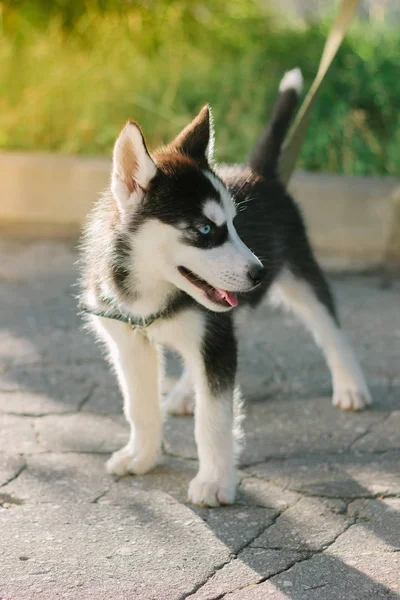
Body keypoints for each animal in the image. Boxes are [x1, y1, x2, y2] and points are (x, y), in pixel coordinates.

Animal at [80, 67, 372, 506]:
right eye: (204, 230)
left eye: (235, 224)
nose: (258, 273)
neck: (152, 292)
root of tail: (261, 173)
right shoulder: (131, 342)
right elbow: (140, 407)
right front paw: (142, 455)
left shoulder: (215, 339)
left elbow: (214, 420)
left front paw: (215, 481)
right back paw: (185, 393)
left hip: (300, 274)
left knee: (329, 327)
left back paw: (351, 384)